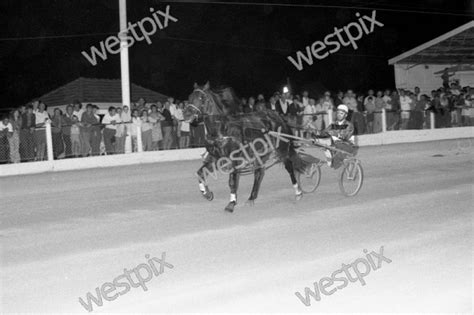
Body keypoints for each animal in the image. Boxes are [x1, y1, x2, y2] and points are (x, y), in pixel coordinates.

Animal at [185, 82, 312, 214]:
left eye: (201, 98)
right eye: (189, 97)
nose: (186, 114)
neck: (222, 129)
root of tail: (276, 115)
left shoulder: (234, 158)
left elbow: (232, 181)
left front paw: (231, 204)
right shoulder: (214, 157)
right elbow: (200, 173)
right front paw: (207, 194)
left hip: (281, 148)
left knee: (289, 168)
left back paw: (298, 192)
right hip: (260, 152)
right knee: (259, 172)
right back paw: (251, 198)